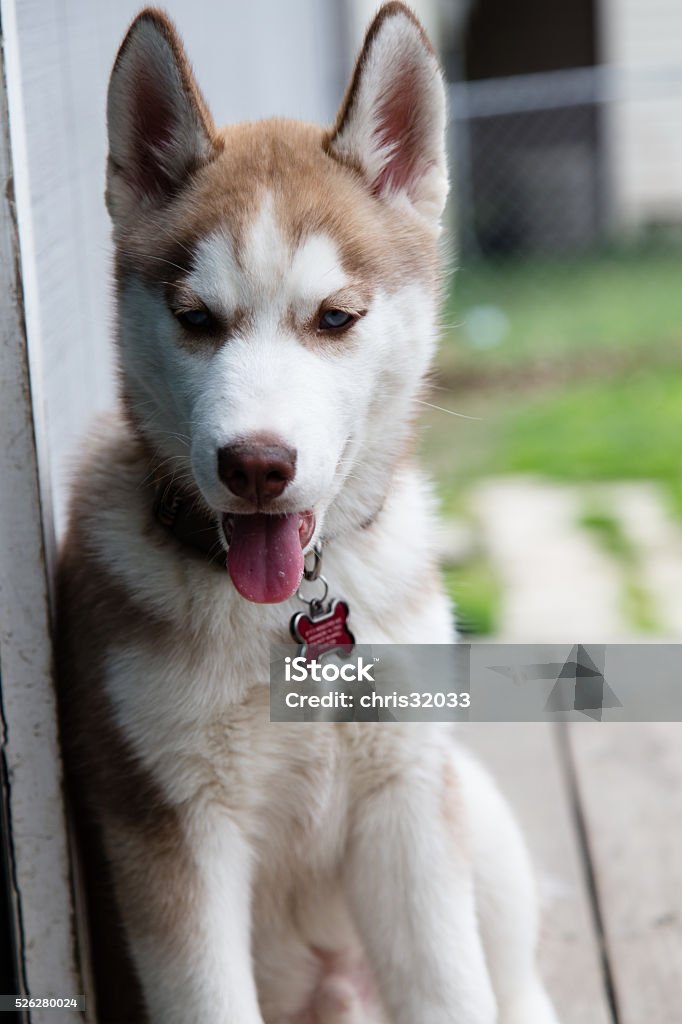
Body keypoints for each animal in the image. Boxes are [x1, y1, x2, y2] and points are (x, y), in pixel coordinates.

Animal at [57, 8, 557, 1024]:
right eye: (195, 318)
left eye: (335, 318)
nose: (255, 465)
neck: (281, 620)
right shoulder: (173, 832)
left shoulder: (406, 801)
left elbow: (451, 992)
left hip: (471, 813)